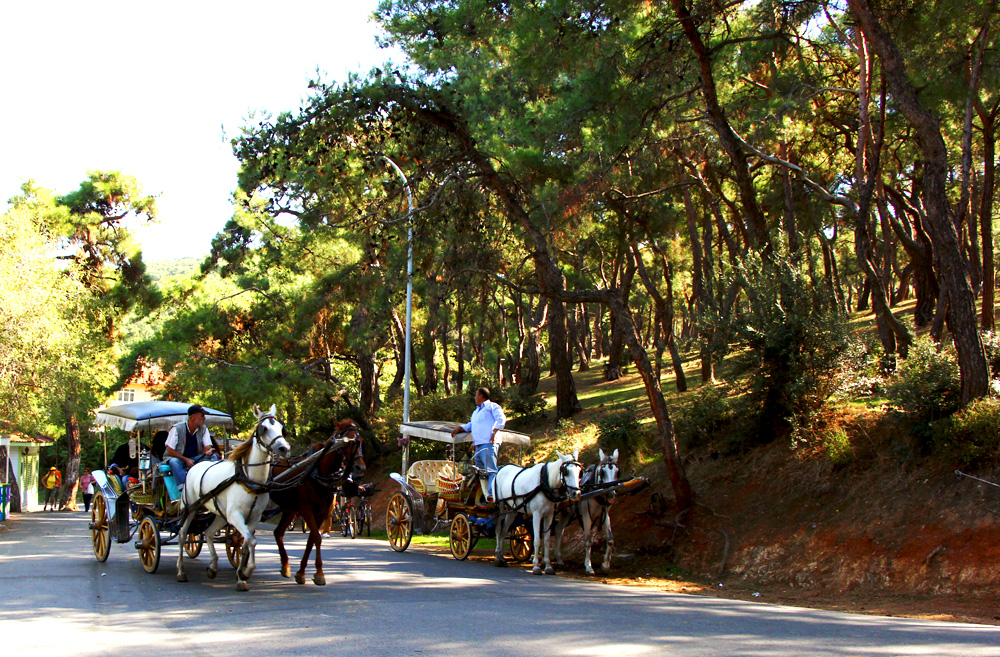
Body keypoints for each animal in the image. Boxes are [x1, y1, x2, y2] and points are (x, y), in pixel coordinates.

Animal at [175, 402, 292, 592]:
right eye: (264, 428)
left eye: (282, 428)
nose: (284, 449)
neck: (249, 480)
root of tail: (194, 465)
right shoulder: (235, 516)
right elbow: (251, 541)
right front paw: (246, 572)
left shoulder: (253, 518)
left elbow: (244, 544)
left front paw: (241, 576)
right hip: (190, 509)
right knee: (182, 535)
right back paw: (180, 571)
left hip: (220, 514)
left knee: (208, 532)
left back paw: (213, 567)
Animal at [270, 420, 368, 584]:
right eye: (347, 443)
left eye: (360, 442)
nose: (360, 468)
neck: (318, 473)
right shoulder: (306, 509)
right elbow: (316, 537)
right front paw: (319, 573)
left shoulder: (322, 512)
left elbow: (312, 540)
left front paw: (302, 572)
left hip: (289, 509)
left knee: (278, 533)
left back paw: (285, 566)